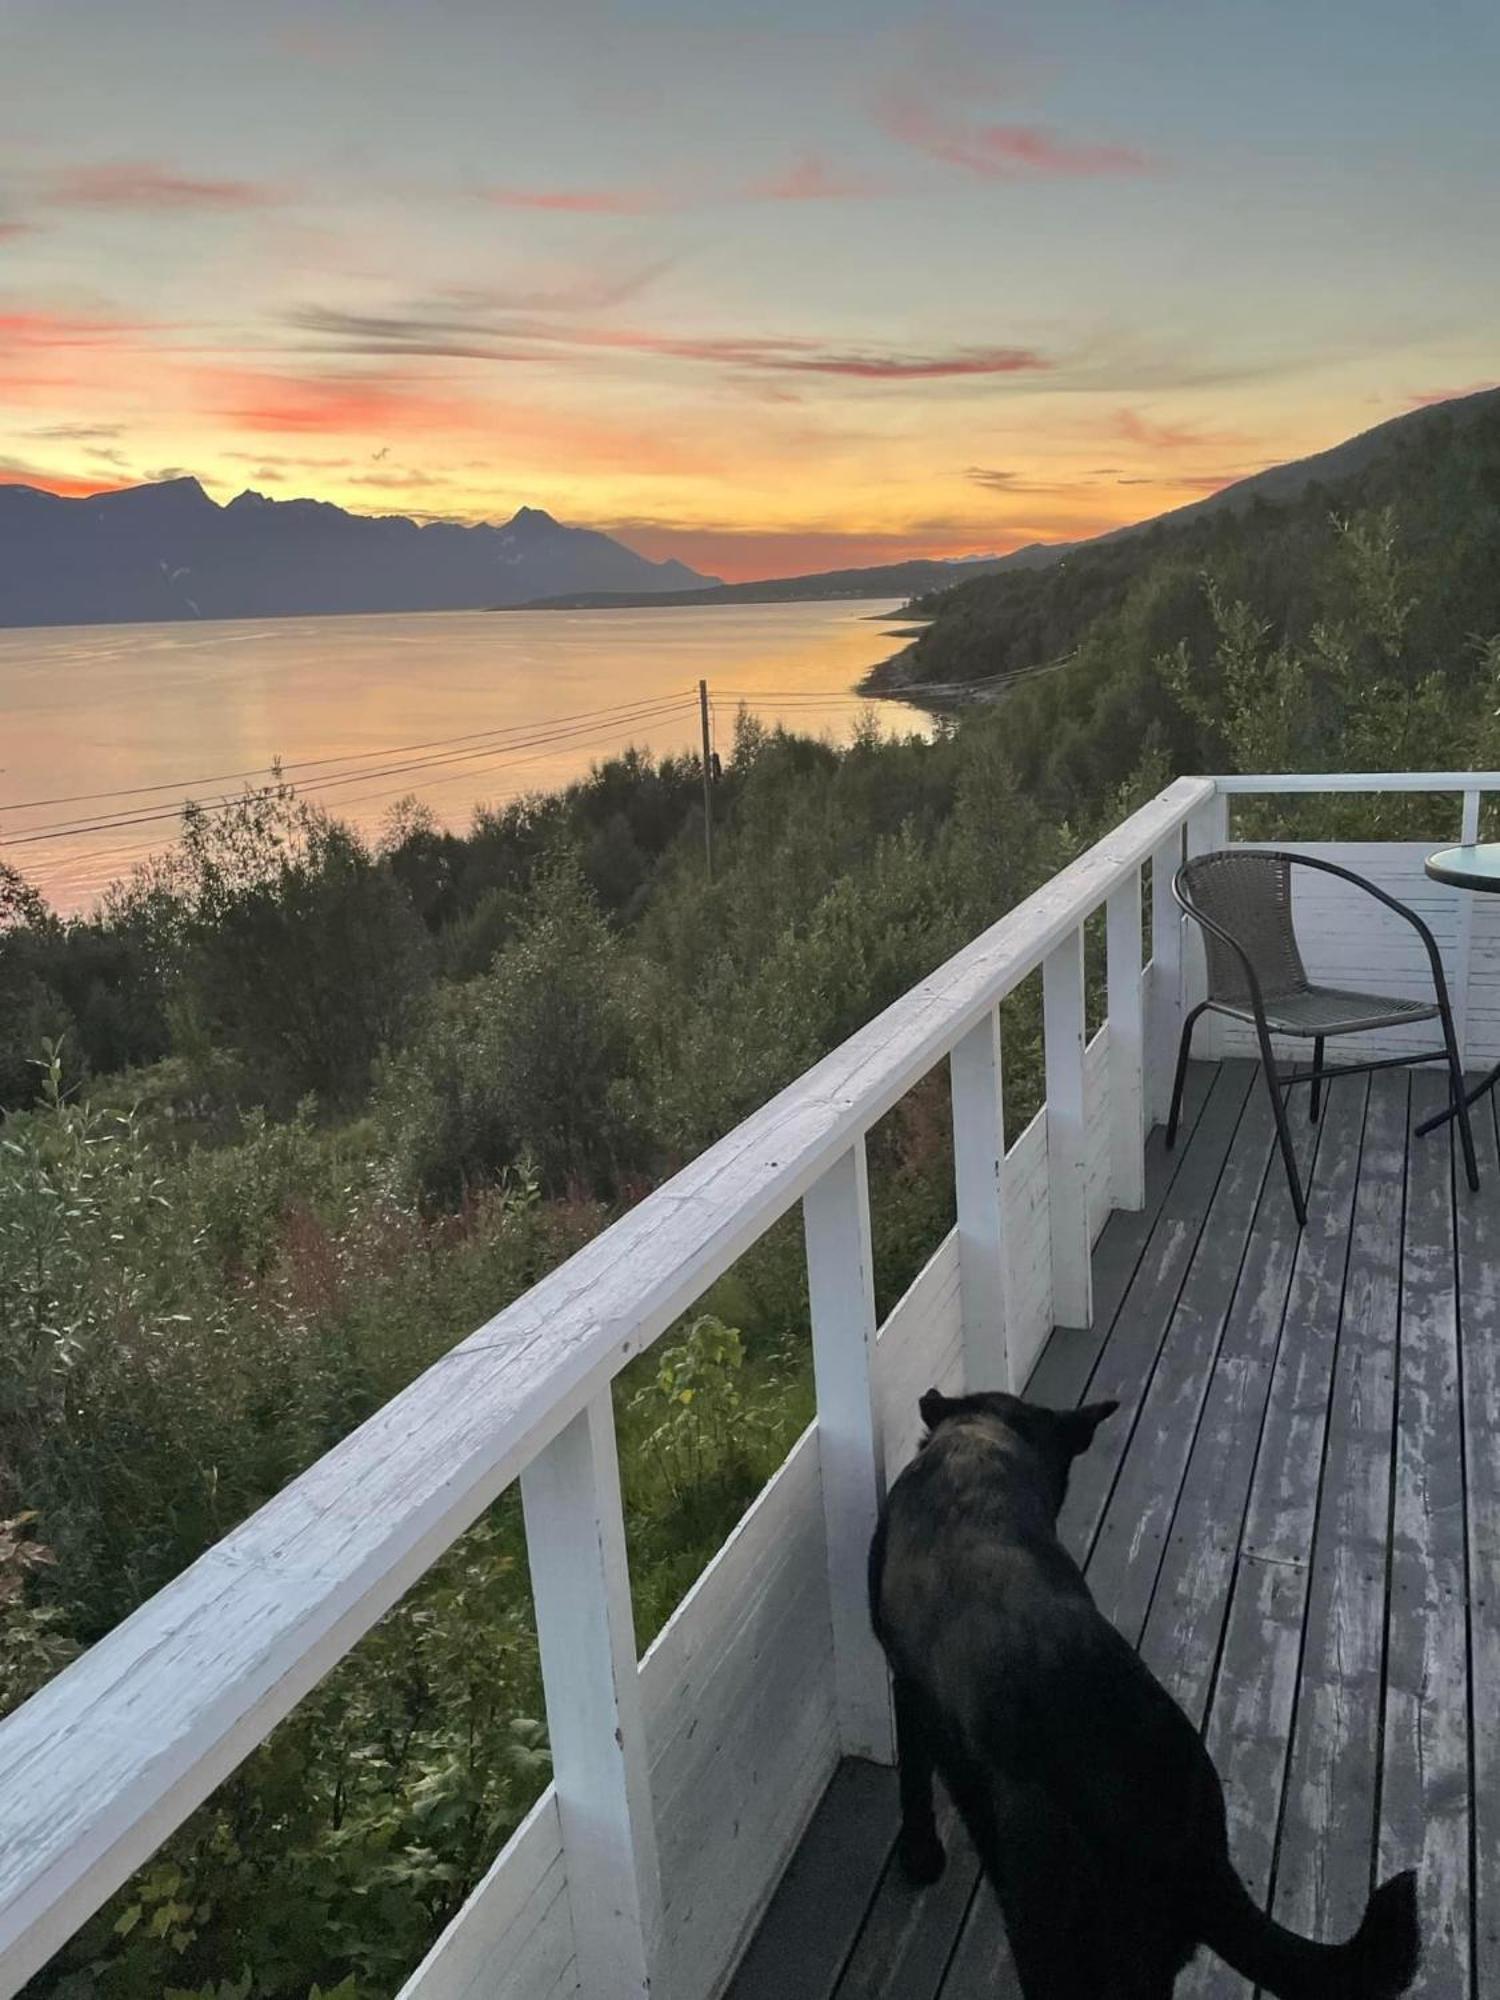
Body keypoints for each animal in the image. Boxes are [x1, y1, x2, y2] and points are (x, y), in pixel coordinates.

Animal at [868, 1392, 1424, 2000]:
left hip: (1054, 1936)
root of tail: (1195, 1850)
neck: (980, 1442)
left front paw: (919, 1854)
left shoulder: (907, 1686)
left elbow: (914, 1776)